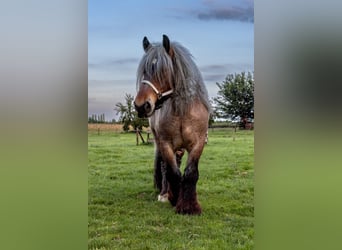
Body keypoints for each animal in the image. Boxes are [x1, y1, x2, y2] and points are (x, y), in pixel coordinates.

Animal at [134, 34, 210, 215]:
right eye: (144, 71)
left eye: (163, 70)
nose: (141, 106)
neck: (182, 111)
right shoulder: (165, 144)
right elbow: (172, 172)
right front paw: (175, 200)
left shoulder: (198, 143)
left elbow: (191, 173)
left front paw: (191, 206)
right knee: (164, 167)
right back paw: (164, 193)